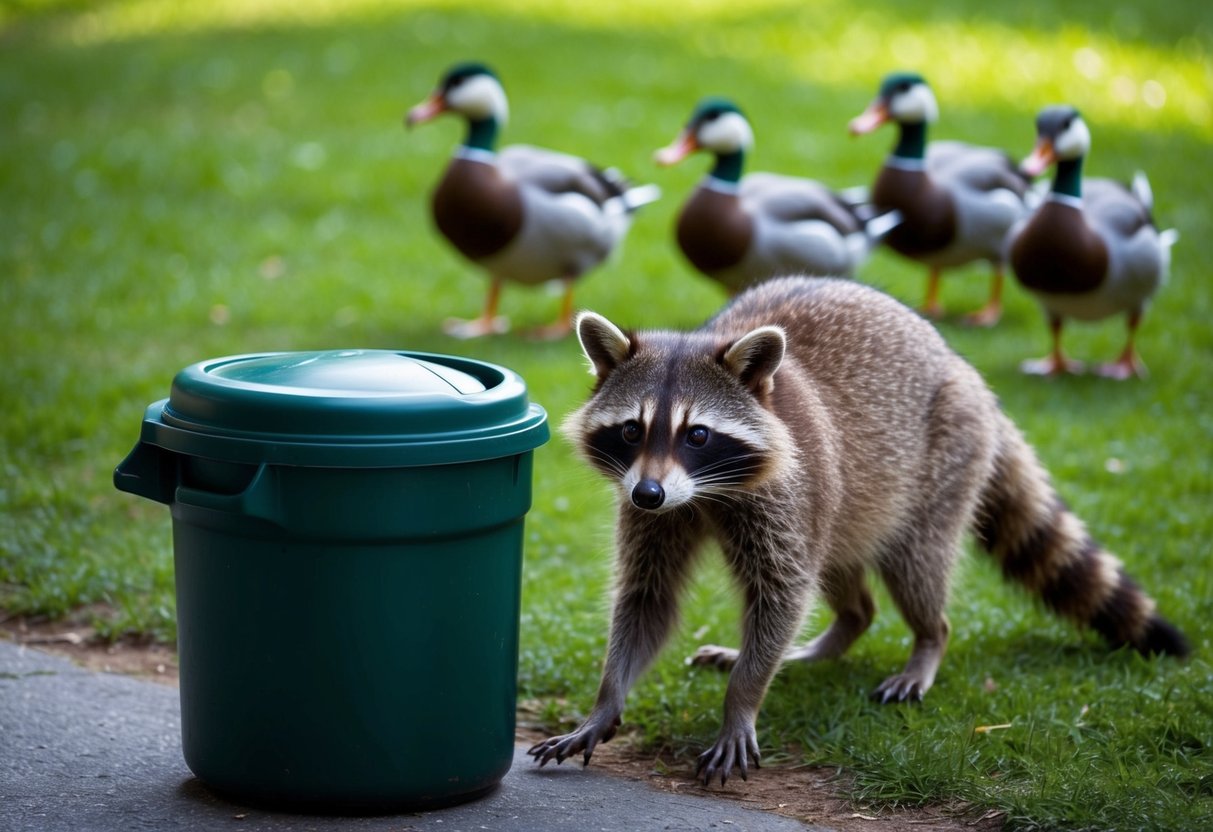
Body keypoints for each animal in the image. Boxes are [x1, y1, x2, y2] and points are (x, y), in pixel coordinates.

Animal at [527, 275, 1188, 786]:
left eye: (697, 435)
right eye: (632, 430)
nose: (649, 493)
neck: (703, 493)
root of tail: (962, 367)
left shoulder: (784, 494)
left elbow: (782, 594)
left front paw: (742, 700)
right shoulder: (655, 510)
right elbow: (649, 597)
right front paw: (607, 699)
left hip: (941, 461)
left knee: (914, 567)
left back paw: (927, 640)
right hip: (844, 504)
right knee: (845, 582)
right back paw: (830, 635)